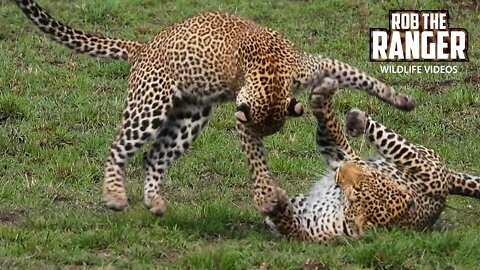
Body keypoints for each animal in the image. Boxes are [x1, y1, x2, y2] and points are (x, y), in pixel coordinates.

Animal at [15, 0, 416, 217]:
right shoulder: (245, 121)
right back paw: (114, 196)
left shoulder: (314, 66)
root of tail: (144, 46)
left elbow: (358, 75)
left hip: (189, 118)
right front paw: (266, 197)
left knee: (153, 157)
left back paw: (155, 201)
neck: (272, 74)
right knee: (119, 148)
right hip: (150, 106)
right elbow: (257, 161)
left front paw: (400, 100)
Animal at [264, 78, 478, 243]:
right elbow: (333, 129)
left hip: (420, 163)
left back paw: (356, 118)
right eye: (372, 173)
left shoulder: (310, 231)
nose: (342, 169)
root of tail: (448, 183)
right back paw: (355, 118)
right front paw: (322, 96)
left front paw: (277, 203)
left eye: (355, 193)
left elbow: (291, 225)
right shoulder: (344, 154)